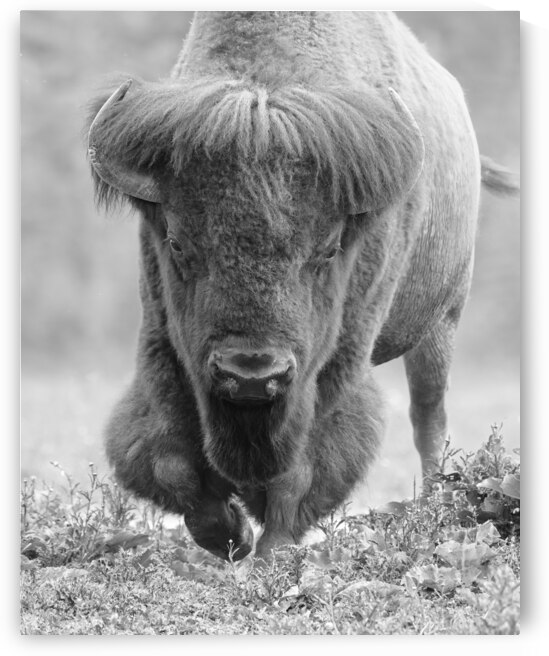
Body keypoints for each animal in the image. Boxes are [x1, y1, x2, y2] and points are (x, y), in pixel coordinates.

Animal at [87, 11, 518, 561]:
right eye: (179, 244)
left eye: (329, 248)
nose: (251, 374)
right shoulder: (165, 348)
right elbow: (171, 461)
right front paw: (232, 534)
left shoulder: (333, 367)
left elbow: (300, 471)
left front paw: (271, 551)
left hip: (441, 323)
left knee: (429, 420)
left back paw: (433, 510)